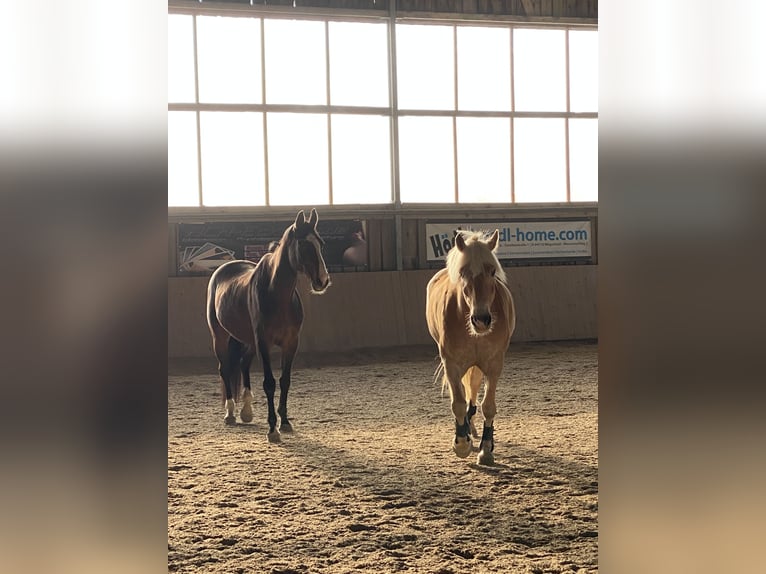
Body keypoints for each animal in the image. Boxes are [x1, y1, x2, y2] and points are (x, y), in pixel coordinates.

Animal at [206, 209, 332, 444]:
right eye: (304, 245)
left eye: (321, 244)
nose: (323, 280)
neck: (277, 295)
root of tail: (223, 269)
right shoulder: (263, 342)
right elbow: (269, 383)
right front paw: (273, 429)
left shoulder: (291, 343)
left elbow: (285, 381)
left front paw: (286, 422)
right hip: (220, 336)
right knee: (225, 368)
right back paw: (230, 413)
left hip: (248, 339)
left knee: (243, 364)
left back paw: (246, 411)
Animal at [426, 231, 516, 468]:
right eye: (462, 272)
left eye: (492, 271)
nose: (481, 320)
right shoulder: (451, 364)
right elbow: (457, 403)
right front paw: (461, 444)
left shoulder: (494, 364)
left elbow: (488, 406)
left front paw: (486, 450)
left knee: (473, 391)